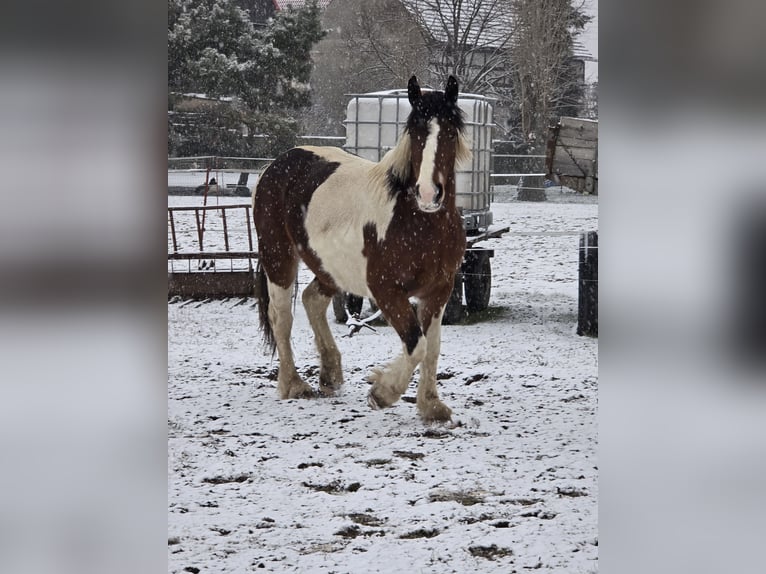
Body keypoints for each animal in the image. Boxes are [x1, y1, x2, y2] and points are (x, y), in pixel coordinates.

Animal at [252, 75, 472, 424]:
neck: (415, 222)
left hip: (328, 267)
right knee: (281, 317)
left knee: (312, 300)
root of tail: (276, 165)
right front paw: (383, 392)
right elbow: (417, 344)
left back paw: (329, 374)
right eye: (415, 131)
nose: (428, 193)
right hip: (278, 257)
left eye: (450, 131)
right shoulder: (386, 291)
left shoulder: (439, 290)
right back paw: (293, 385)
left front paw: (431, 405)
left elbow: (432, 347)